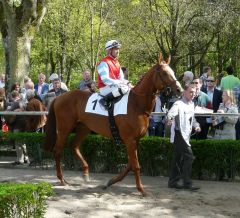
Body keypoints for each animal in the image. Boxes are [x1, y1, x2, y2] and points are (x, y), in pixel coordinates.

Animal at [43, 54, 182, 196]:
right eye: (164, 73)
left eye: (172, 71)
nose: (179, 90)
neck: (136, 103)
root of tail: (59, 97)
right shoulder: (130, 139)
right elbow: (136, 165)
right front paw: (141, 189)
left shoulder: (135, 139)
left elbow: (131, 164)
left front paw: (110, 181)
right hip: (64, 128)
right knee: (58, 150)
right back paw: (62, 179)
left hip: (84, 128)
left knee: (74, 146)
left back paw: (85, 173)